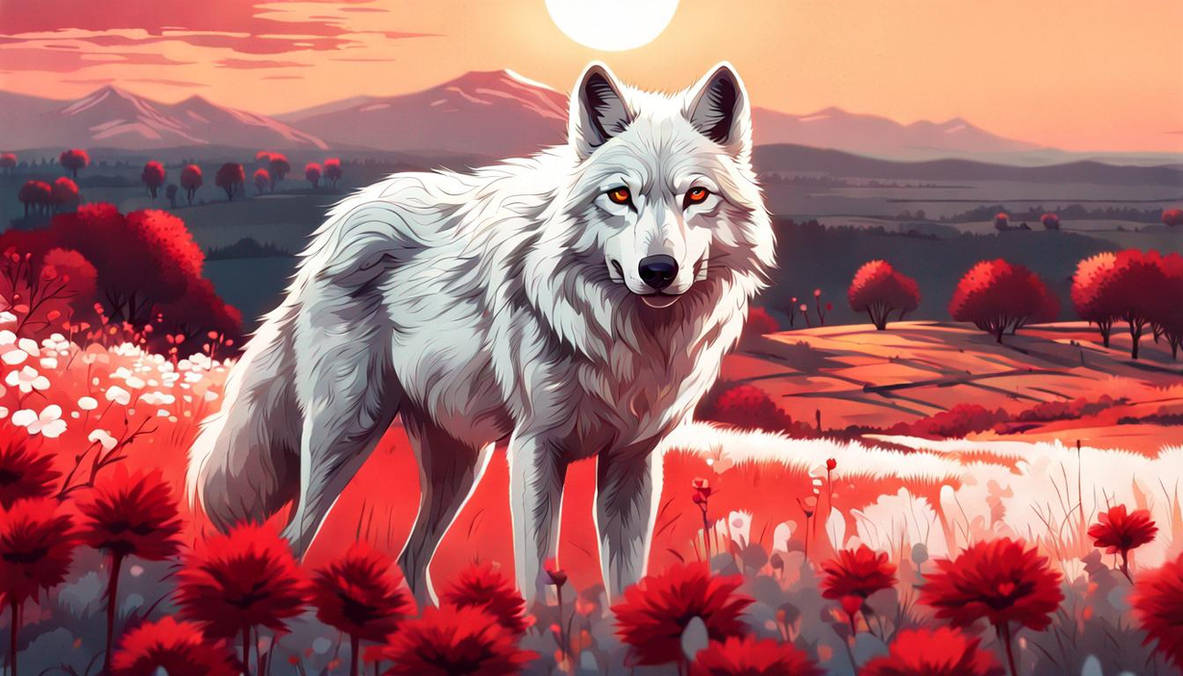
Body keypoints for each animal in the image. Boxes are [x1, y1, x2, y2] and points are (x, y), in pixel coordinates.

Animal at [187, 61, 773, 604]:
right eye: (620, 196)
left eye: (696, 195)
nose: (657, 270)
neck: (628, 337)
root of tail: (334, 227)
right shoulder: (536, 450)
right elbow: (537, 579)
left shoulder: (634, 462)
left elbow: (626, 585)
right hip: (347, 434)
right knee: (294, 538)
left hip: (460, 462)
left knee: (408, 557)